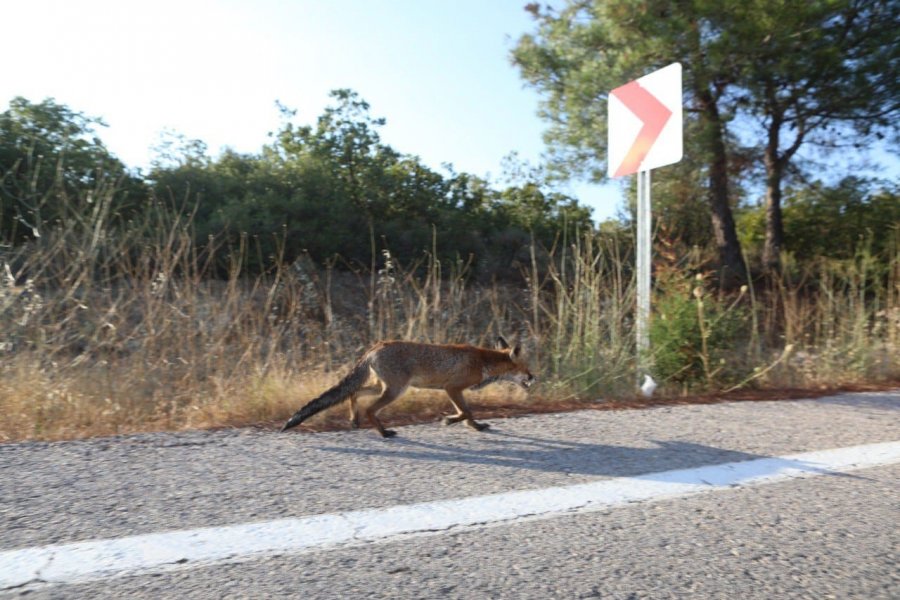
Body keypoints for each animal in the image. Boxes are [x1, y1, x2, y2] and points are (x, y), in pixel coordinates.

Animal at [280, 336, 536, 438]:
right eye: (526, 368)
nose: (534, 377)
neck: (483, 362)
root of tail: (375, 347)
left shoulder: (455, 391)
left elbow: (469, 414)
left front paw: (476, 427)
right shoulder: (452, 388)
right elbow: (465, 411)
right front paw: (450, 421)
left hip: (381, 387)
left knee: (354, 393)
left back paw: (354, 420)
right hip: (395, 390)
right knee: (369, 409)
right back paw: (384, 433)